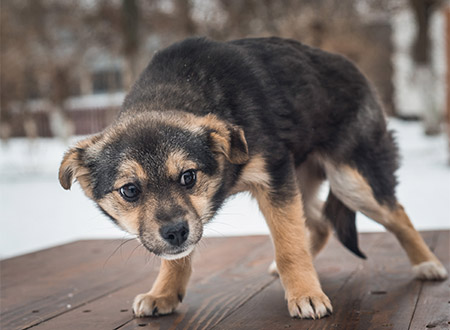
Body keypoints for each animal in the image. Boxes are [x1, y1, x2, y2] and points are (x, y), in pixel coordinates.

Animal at [59, 36, 446, 320]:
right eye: (129, 190)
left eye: (188, 177)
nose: (175, 232)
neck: (178, 88)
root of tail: (350, 65)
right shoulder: (258, 192)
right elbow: (177, 255)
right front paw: (164, 293)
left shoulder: (273, 178)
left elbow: (289, 245)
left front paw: (305, 294)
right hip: (302, 179)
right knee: (320, 222)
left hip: (350, 180)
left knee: (395, 213)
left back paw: (428, 264)